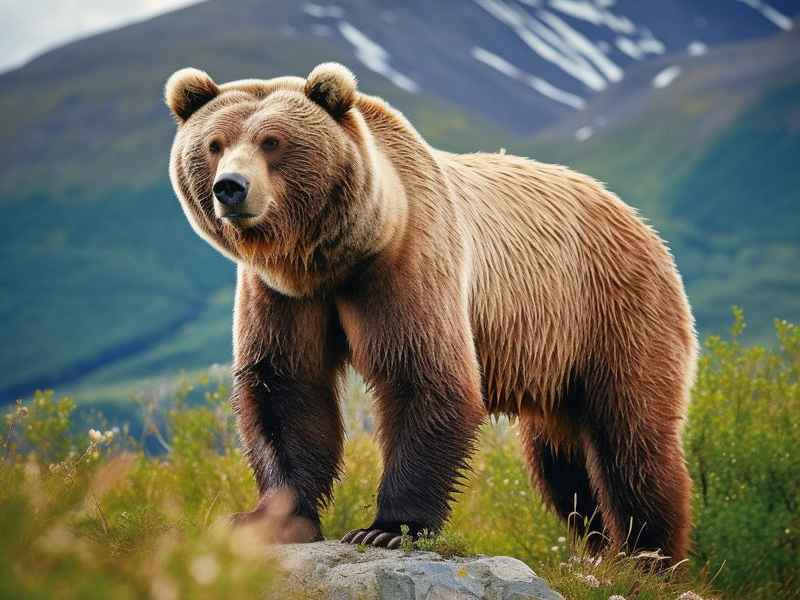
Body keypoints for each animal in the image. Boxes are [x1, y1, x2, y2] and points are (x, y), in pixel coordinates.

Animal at [165, 62, 697, 562]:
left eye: (272, 141)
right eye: (214, 144)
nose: (231, 187)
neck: (334, 258)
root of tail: (636, 218)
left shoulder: (409, 262)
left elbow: (424, 376)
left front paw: (386, 528)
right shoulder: (282, 295)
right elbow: (286, 387)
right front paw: (266, 518)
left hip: (613, 311)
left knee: (631, 441)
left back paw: (647, 556)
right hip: (554, 362)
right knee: (561, 465)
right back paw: (602, 547)